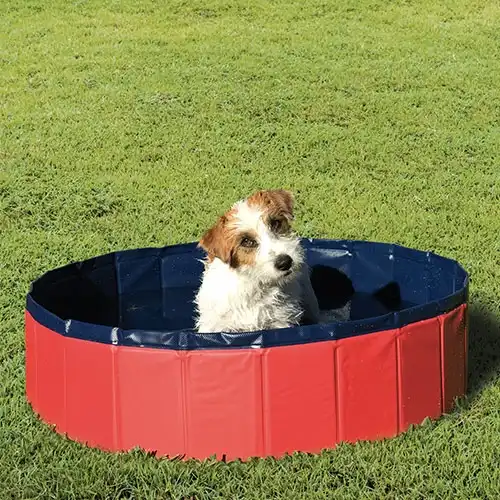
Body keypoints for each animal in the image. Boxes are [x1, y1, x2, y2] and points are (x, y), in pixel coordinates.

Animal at [193, 189, 318, 334]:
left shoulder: (280, 323)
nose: (285, 262)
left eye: (275, 223)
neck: (256, 284)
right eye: (247, 241)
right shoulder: (216, 326)